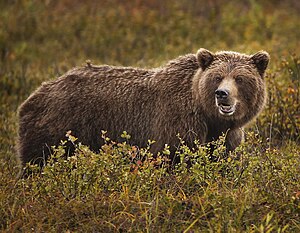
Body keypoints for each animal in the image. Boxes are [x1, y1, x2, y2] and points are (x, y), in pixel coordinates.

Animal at [16, 47, 270, 171]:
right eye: (217, 77)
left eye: (239, 78)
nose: (222, 94)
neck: (209, 117)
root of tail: (37, 92)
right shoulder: (177, 124)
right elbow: (175, 158)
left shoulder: (225, 137)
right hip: (57, 126)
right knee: (38, 161)